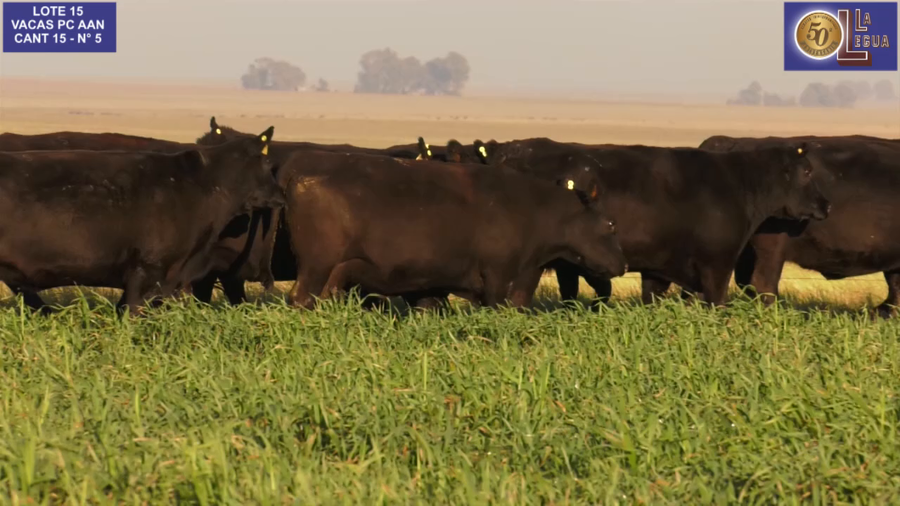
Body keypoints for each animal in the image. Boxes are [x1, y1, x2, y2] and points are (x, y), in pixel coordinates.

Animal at [274, 150, 627, 309]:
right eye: (610, 224)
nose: (622, 265)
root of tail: (301, 166)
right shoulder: (497, 278)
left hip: (334, 273)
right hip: (317, 266)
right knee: (300, 298)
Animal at [442, 137, 833, 306]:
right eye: (806, 171)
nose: (826, 204)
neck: (737, 184)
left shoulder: (659, 267)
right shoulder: (717, 263)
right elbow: (718, 303)